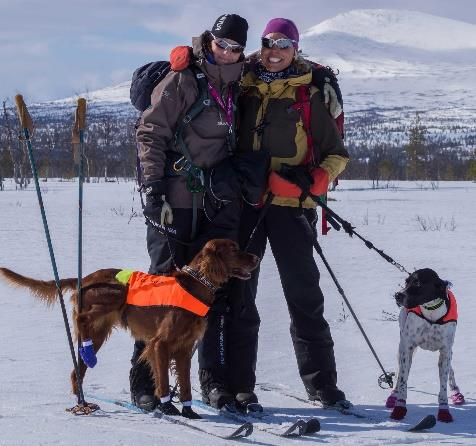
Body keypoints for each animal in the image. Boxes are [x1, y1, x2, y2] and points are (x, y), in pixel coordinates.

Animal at [0, 240, 260, 418]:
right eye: (234, 250)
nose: (257, 258)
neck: (195, 286)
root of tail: (85, 278)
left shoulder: (184, 349)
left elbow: (185, 383)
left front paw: (188, 411)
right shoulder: (160, 344)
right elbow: (163, 380)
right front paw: (168, 407)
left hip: (100, 330)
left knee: (77, 368)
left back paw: (83, 383)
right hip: (115, 294)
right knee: (83, 318)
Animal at [386, 268, 464, 422]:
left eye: (418, 283)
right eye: (406, 281)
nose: (398, 295)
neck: (431, 313)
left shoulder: (445, 351)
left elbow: (443, 386)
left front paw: (444, 411)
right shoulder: (408, 348)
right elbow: (403, 380)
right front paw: (399, 408)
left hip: (448, 352)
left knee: (450, 369)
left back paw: (456, 391)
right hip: (402, 347)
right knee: (399, 372)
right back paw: (393, 394)